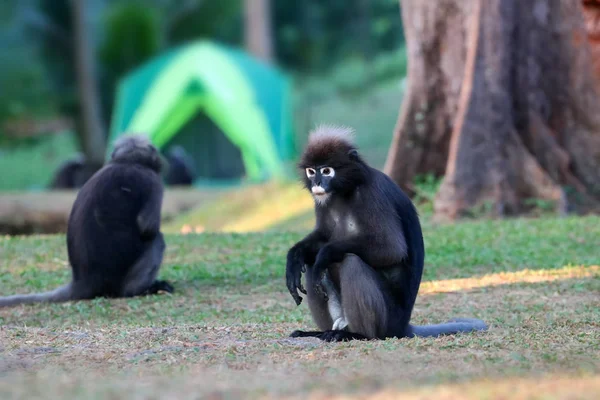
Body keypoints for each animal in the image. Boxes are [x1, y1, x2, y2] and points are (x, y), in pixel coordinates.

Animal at [0, 136, 173, 308]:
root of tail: (83, 281)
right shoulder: (154, 182)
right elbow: (147, 227)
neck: (126, 162)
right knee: (157, 240)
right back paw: (141, 290)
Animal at [286, 126, 488, 342]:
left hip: (387, 318)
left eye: (326, 171)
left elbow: (391, 249)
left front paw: (323, 256)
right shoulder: (323, 201)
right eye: (311, 171)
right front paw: (294, 256)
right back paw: (322, 331)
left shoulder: (372, 194)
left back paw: (357, 334)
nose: (316, 182)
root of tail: (401, 327)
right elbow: (322, 237)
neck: (346, 190)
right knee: (311, 261)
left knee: (351, 261)